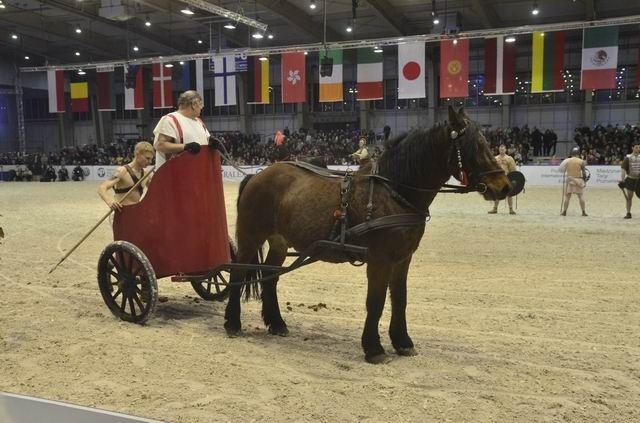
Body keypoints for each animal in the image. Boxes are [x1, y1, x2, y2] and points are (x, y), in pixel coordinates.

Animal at [225, 108, 510, 364]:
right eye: (475, 146)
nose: (505, 186)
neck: (393, 191)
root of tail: (258, 175)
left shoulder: (402, 259)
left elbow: (400, 299)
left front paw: (403, 342)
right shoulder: (380, 259)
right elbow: (376, 301)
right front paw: (374, 348)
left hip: (280, 242)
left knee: (270, 278)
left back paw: (276, 323)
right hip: (251, 235)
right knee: (238, 272)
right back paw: (232, 322)